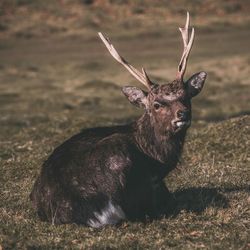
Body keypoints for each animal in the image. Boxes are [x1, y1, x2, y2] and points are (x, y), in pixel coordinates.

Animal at [30, 13, 207, 229]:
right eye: (156, 104)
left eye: (186, 97)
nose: (183, 114)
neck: (159, 157)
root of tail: (92, 211)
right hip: (118, 155)